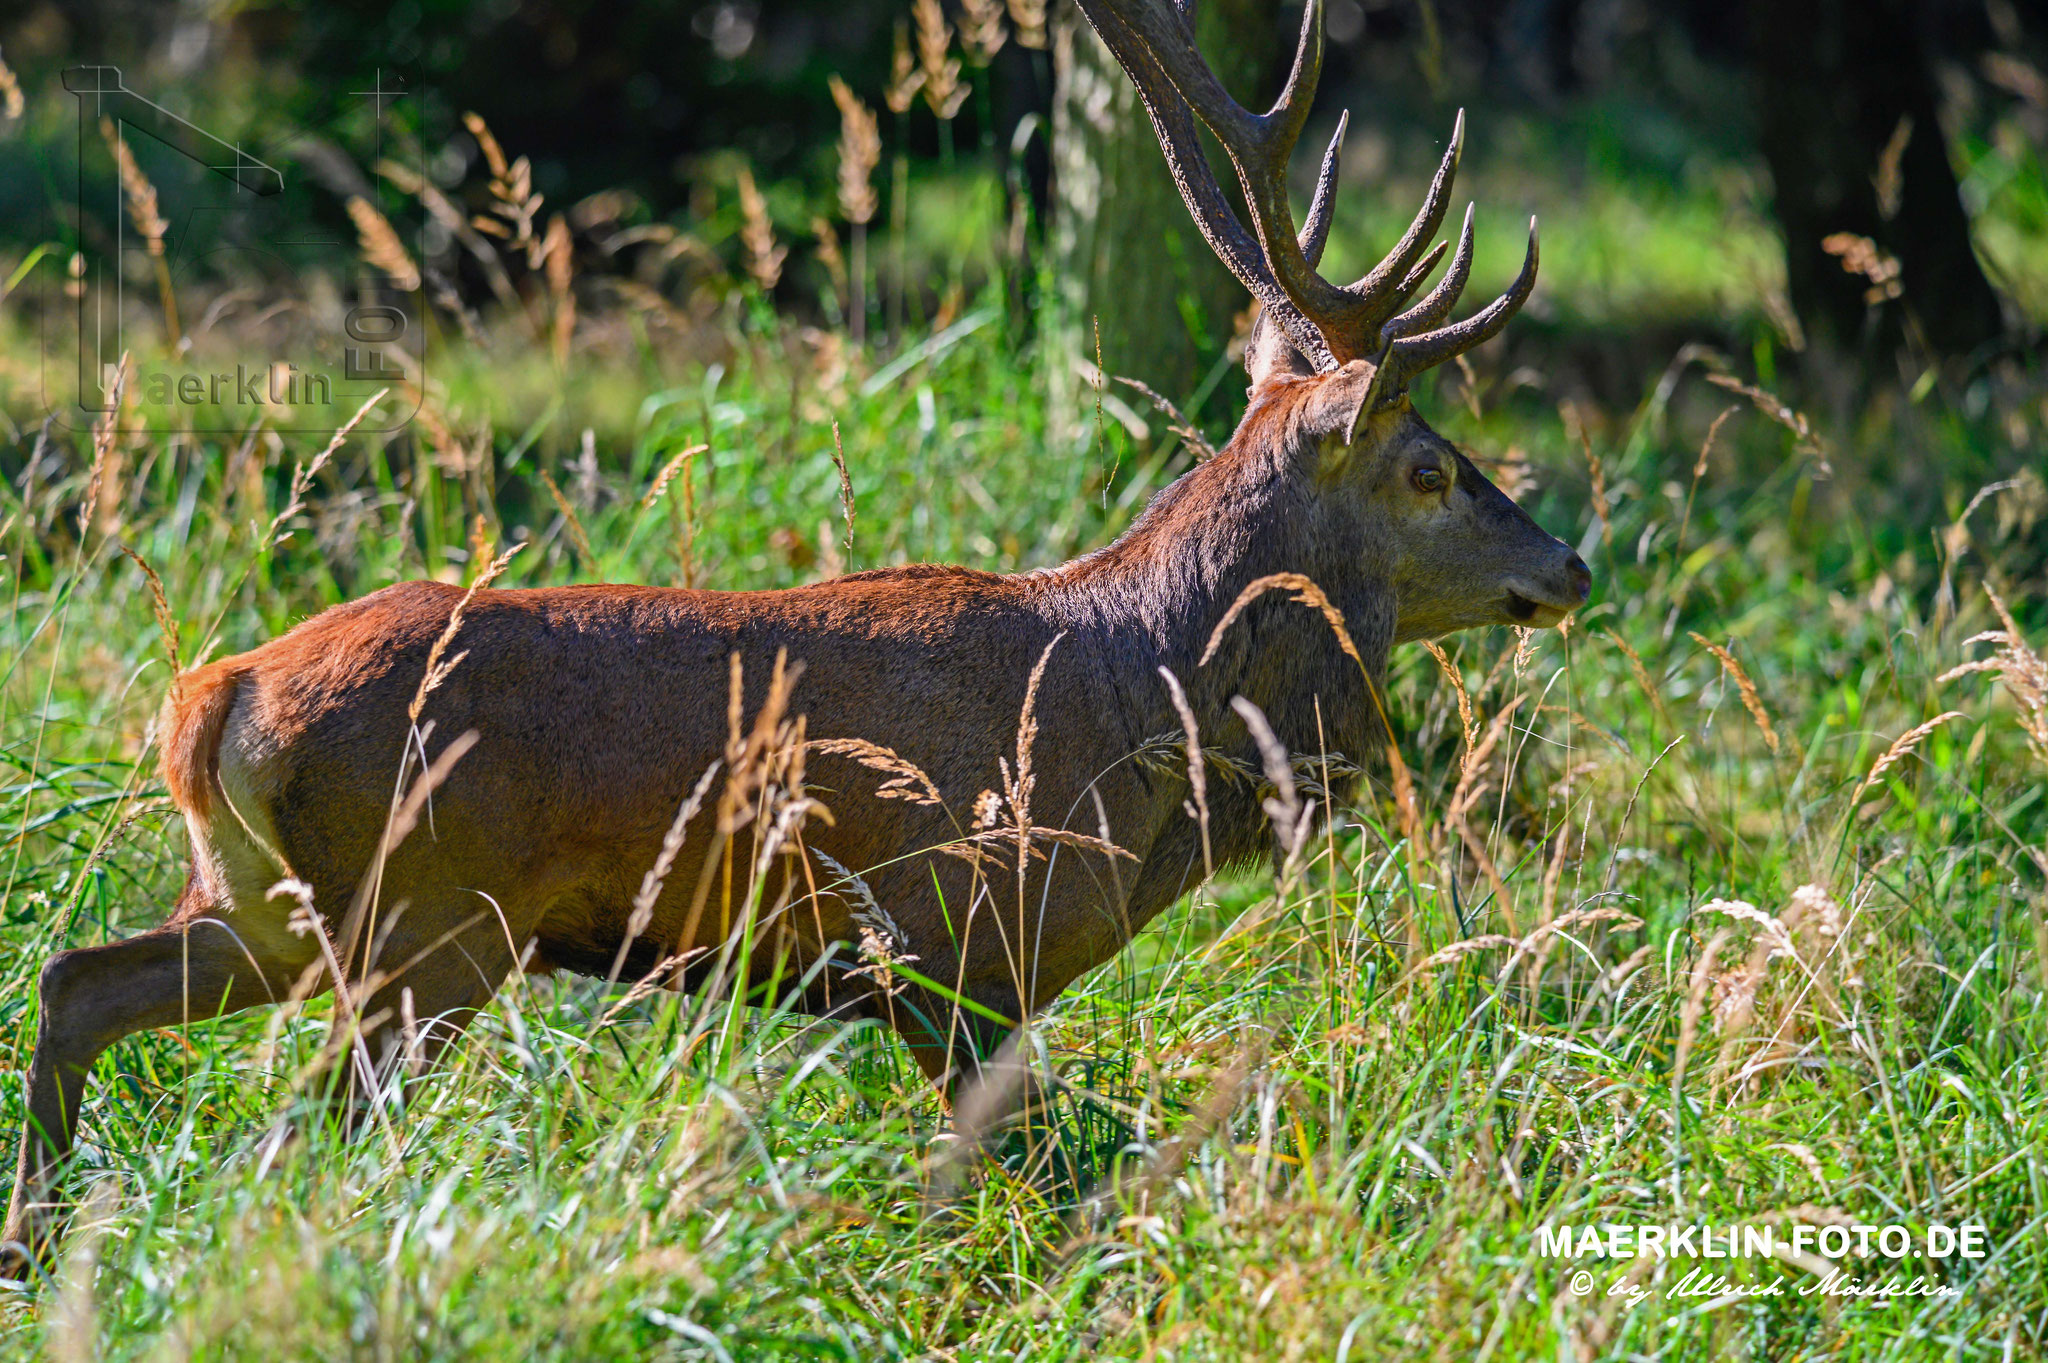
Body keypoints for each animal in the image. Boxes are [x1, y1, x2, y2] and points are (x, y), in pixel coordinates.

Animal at [4, 0, 1581, 1268]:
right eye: (1430, 467)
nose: (1566, 566)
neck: (1146, 724)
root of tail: (214, 697)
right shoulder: (957, 943)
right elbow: (1022, 1181)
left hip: (272, 902)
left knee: (79, 979)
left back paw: (39, 1238)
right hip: (425, 919)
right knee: (284, 1140)